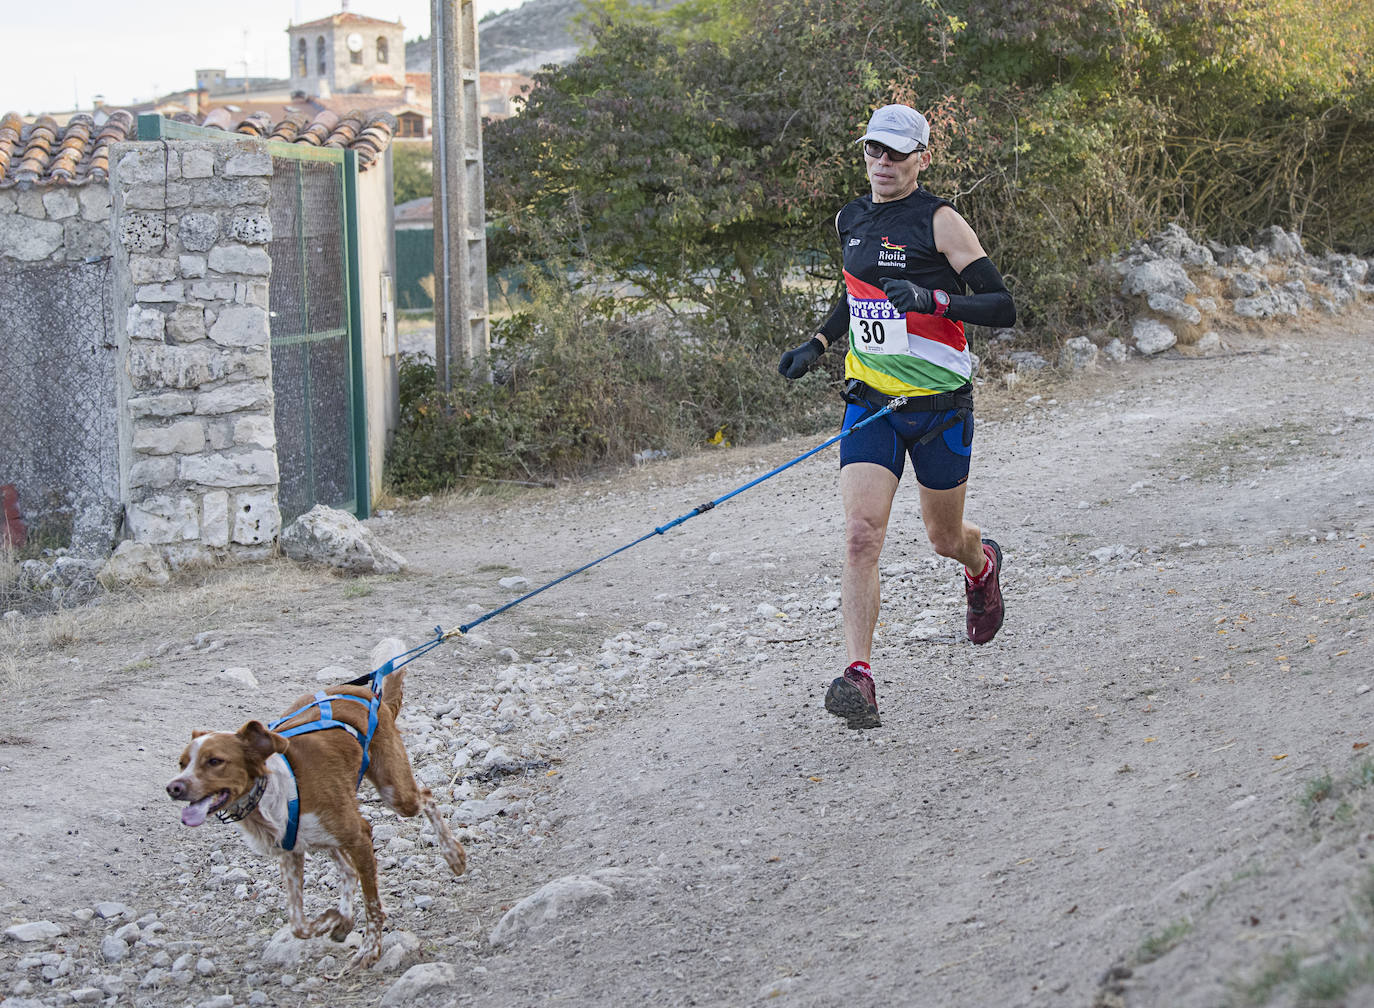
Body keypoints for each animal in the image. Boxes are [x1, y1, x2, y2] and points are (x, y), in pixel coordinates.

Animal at [164, 664, 467, 972]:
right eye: (181, 763)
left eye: (215, 761)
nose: (173, 787)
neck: (269, 792)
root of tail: (369, 693)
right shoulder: (292, 852)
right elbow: (299, 924)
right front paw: (332, 920)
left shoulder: (360, 835)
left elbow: (372, 904)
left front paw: (370, 948)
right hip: (327, 835)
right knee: (347, 871)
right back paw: (342, 919)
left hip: (396, 794)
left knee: (427, 796)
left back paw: (453, 855)